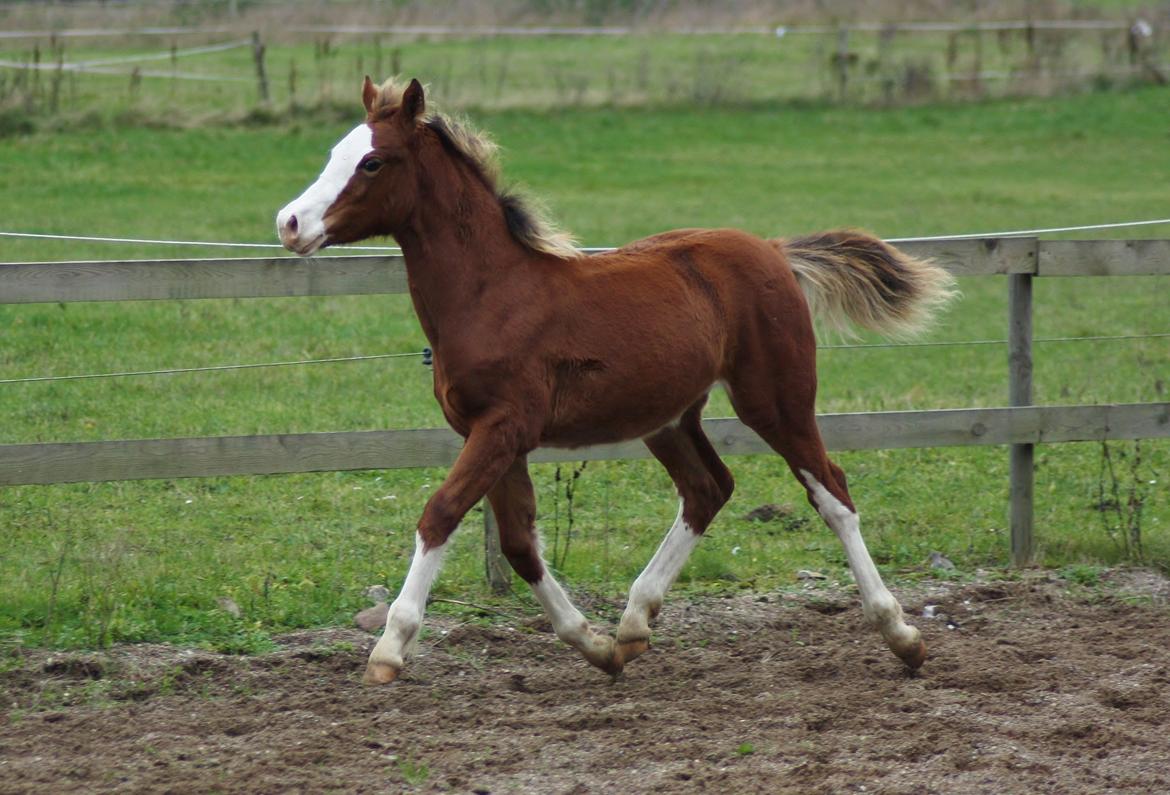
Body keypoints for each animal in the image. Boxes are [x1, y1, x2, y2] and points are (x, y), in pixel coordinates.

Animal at [278, 76, 954, 683]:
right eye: (333, 153)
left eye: (371, 161)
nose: (289, 222)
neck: (491, 293)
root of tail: (773, 249)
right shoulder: (494, 435)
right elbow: (519, 543)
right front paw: (595, 646)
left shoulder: (503, 426)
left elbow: (441, 513)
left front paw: (389, 648)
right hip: (670, 416)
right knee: (708, 488)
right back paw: (632, 624)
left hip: (776, 398)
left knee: (831, 491)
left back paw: (902, 635)